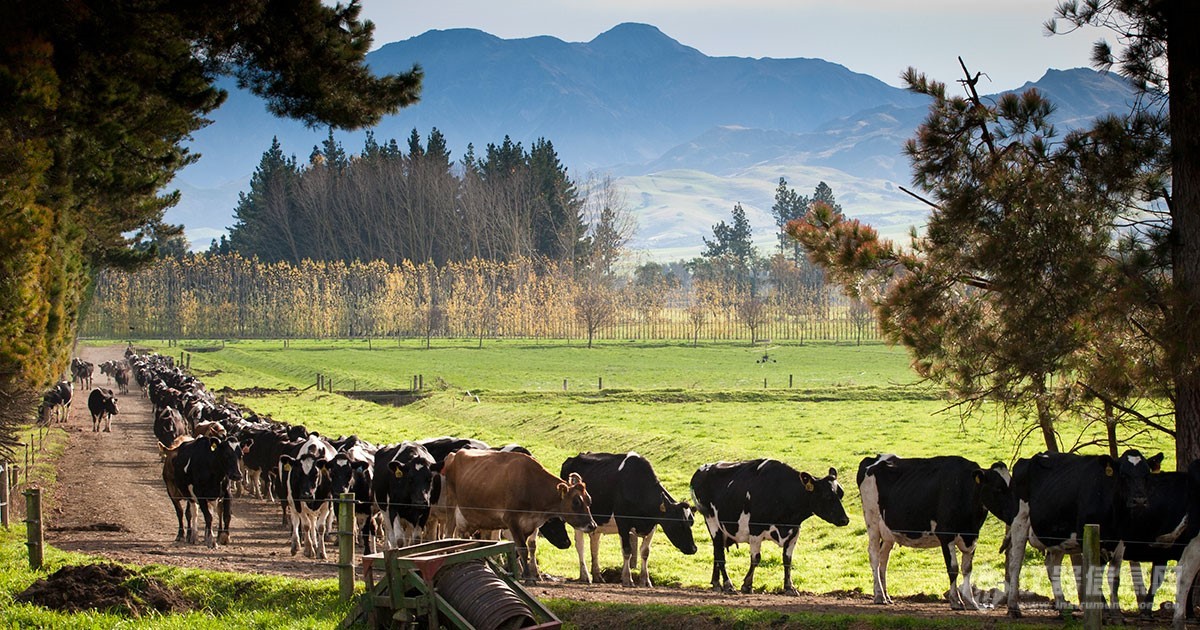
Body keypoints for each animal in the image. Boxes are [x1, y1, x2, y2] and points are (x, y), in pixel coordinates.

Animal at [441, 448, 595, 583]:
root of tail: (454, 454)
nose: (592, 525)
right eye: (576, 502)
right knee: (448, 536)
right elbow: (522, 549)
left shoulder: (529, 525)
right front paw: (528, 578)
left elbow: (518, 549)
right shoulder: (511, 520)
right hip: (451, 507)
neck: (532, 484)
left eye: (589, 500)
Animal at [559, 448, 700, 588]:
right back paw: (585, 576)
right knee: (580, 546)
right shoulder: (623, 522)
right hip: (579, 521)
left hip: (596, 523)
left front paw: (645, 580)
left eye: (691, 522)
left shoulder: (653, 526)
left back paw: (598, 576)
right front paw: (627, 579)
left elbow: (645, 552)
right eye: (678, 523)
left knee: (595, 545)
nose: (693, 548)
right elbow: (627, 550)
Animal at [691, 458, 849, 592]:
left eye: (841, 494)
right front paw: (747, 585)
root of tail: (703, 469)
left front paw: (789, 586)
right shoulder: (755, 529)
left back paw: (716, 583)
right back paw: (728, 584)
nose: (845, 520)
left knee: (716, 552)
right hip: (712, 522)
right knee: (720, 555)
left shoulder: (794, 531)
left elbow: (787, 560)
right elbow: (756, 558)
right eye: (827, 496)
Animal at [854, 451, 1012, 609]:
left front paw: (971, 602)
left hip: (888, 532)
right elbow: (953, 568)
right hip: (872, 523)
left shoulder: (972, 537)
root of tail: (875, 458)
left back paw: (886, 595)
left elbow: (967, 569)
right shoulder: (946, 535)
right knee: (874, 556)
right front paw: (956, 601)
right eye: (998, 488)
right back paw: (879, 595)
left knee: (883, 559)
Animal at [1003, 448, 1161, 614]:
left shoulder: (1121, 541)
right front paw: (1101, 608)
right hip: (1020, 520)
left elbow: (1114, 578)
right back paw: (1013, 606)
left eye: (1147, 475)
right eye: (1123, 475)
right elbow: (1094, 575)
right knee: (1016, 563)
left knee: (1052, 565)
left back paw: (1061, 603)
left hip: (1058, 534)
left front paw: (1116, 611)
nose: (1140, 500)